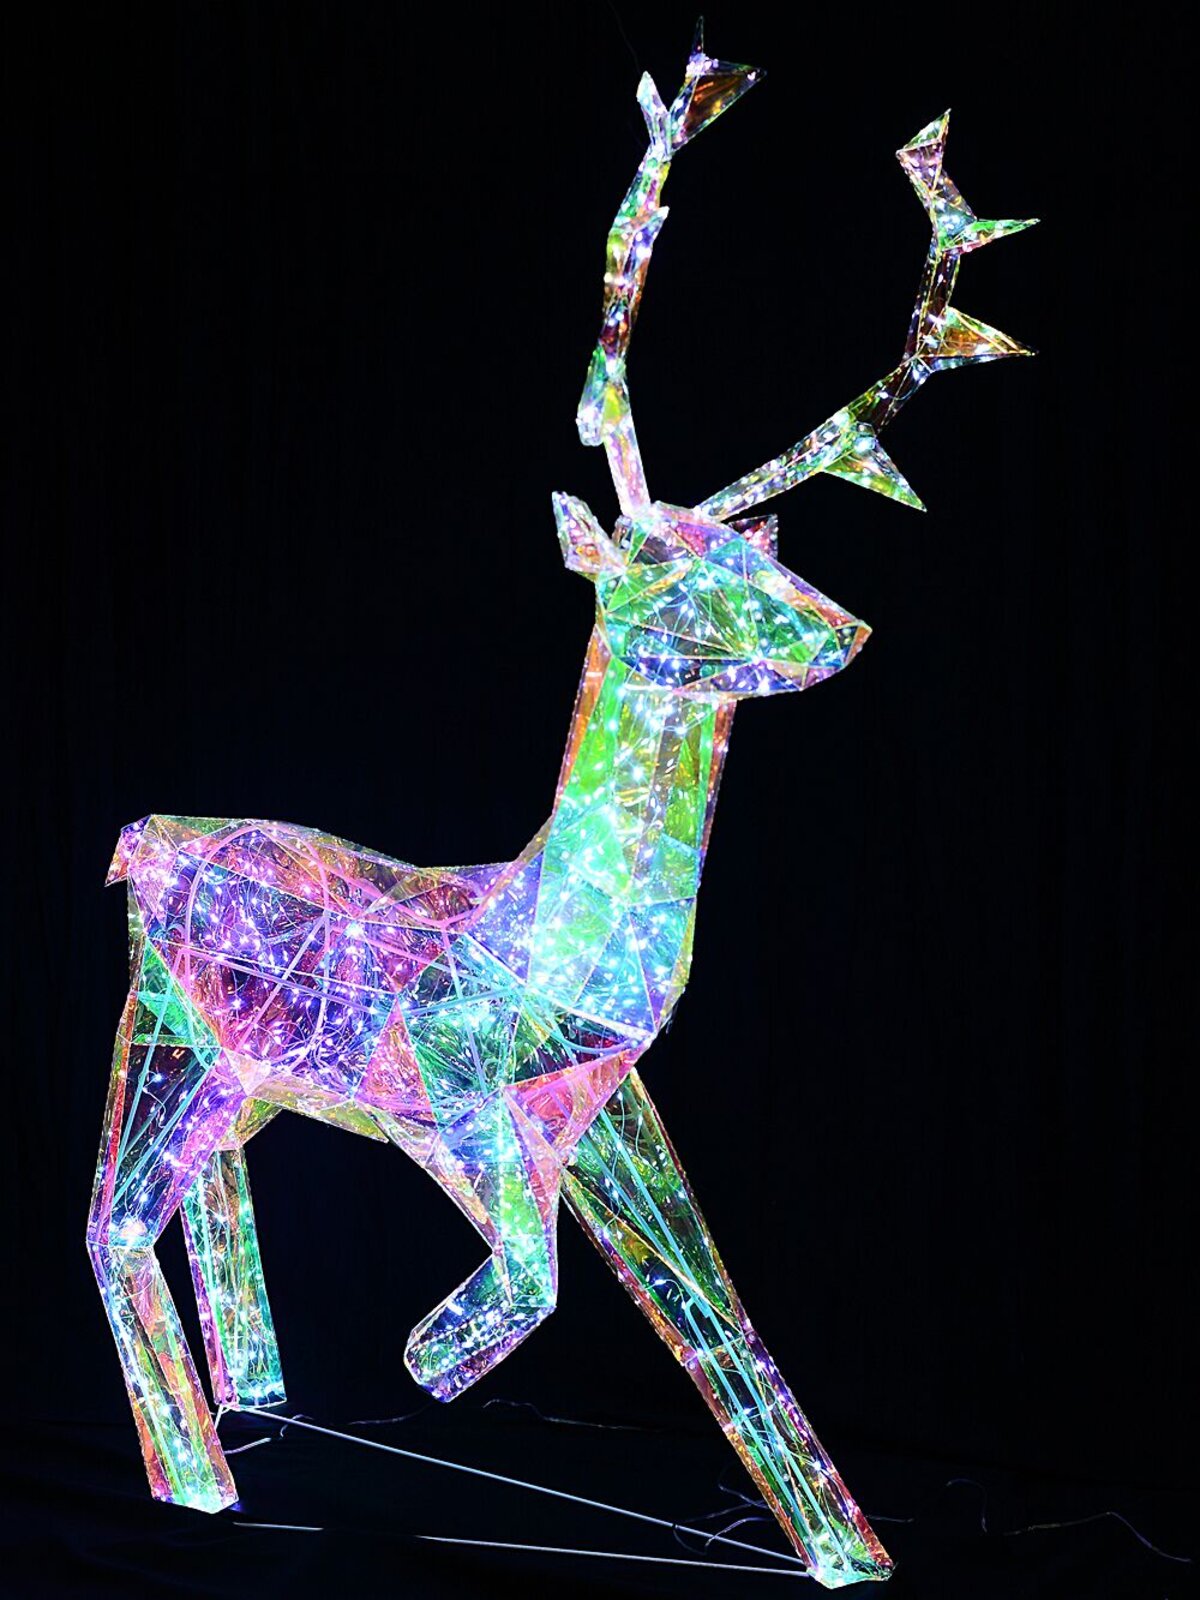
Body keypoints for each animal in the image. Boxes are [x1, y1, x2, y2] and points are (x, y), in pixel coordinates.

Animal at [87, 27, 1035, 1590]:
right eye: (657, 572)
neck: (551, 941)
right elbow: (535, 1280)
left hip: (251, 1068)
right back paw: (198, 1478)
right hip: (162, 1035)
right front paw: (432, 1362)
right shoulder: (457, 1109)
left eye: (753, 556)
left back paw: (258, 1393)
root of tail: (141, 834)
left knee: (205, 1197)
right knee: (106, 1224)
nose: (843, 629)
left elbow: (724, 1318)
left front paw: (848, 1549)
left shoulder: (608, 1114)